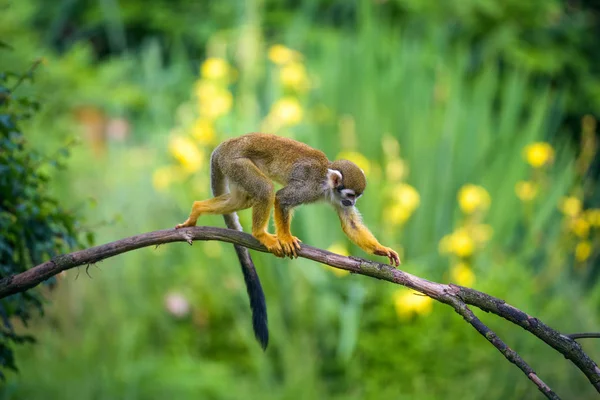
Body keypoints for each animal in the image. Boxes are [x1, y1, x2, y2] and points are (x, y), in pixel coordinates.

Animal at [176, 133, 400, 348]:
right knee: (265, 189)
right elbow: (282, 198)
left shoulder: (336, 200)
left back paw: (197, 209)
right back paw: (260, 234)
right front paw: (285, 238)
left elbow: (351, 226)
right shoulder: (311, 188)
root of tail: (222, 146)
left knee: (242, 199)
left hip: (232, 169)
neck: (327, 184)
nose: (352, 202)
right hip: (235, 163)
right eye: (350, 194)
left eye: (356, 197)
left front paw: (382, 249)